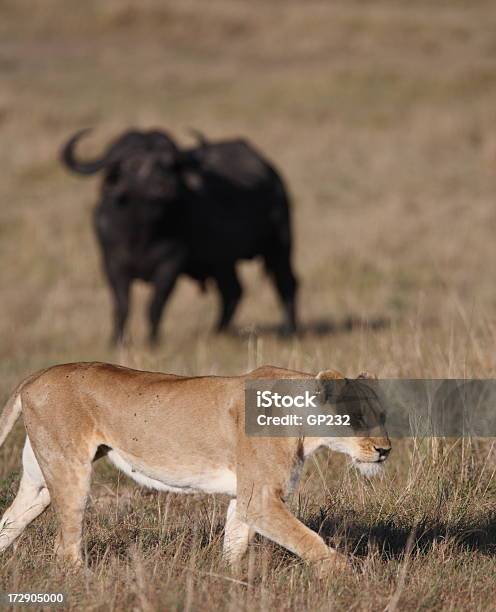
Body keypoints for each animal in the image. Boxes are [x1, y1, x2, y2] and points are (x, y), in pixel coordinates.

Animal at [60, 129, 296, 344]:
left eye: (170, 164)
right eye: (133, 164)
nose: (165, 187)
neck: (143, 233)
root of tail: (270, 172)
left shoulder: (171, 264)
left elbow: (155, 304)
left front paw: (152, 341)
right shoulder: (112, 264)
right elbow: (122, 305)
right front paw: (116, 341)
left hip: (279, 244)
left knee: (286, 282)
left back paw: (288, 330)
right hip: (222, 262)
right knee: (232, 291)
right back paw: (217, 331)